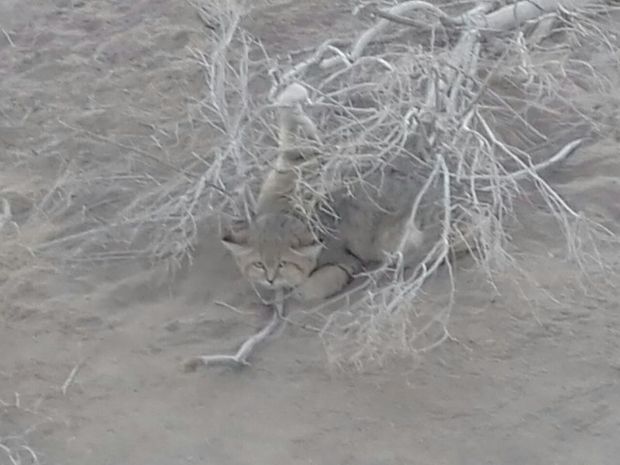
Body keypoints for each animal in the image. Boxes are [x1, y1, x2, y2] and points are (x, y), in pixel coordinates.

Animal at [220, 83, 434, 300]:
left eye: (283, 264)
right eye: (258, 264)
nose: (269, 279)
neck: (290, 213)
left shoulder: (343, 262)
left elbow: (309, 288)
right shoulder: (293, 168)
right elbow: (296, 127)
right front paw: (293, 93)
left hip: (391, 240)